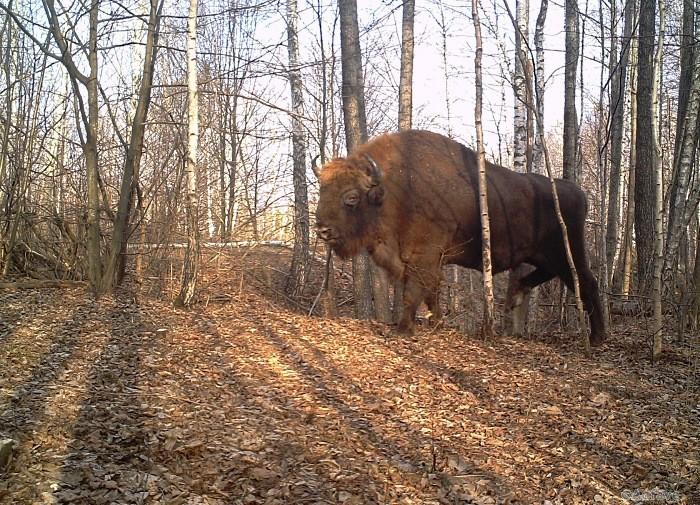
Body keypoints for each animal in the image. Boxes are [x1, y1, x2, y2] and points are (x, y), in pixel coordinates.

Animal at [314, 128, 604, 344]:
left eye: (351, 198)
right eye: (322, 190)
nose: (322, 229)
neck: (393, 189)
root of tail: (578, 193)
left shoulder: (424, 256)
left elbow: (414, 292)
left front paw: (403, 329)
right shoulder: (427, 260)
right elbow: (431, 292)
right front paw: (436, 323)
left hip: (568, 252)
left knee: (588, 283)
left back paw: (597, 338)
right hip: (545, 256)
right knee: (537, 279)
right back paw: (517, 303)